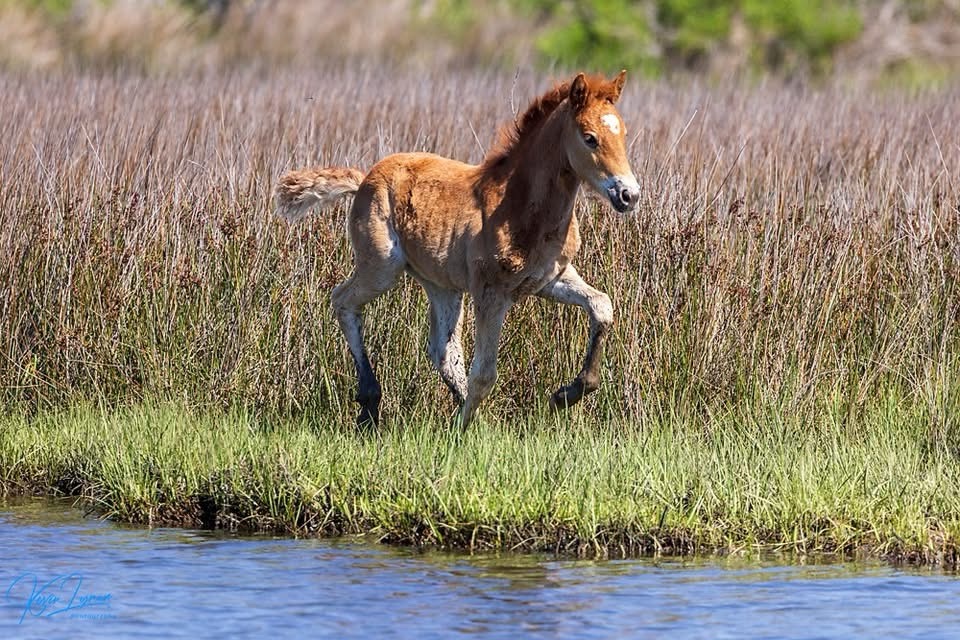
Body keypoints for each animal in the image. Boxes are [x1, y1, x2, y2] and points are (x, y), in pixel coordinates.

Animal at [274, 71, 640, 430]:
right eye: (589, 138)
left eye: (623, 134)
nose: (629, 195)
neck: (519, 203)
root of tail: (364, 179)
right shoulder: (491, 292)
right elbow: (485, 373)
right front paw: (462, 433)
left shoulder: (552, 278)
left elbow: (602, 306)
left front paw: (568, 393)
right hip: (380, 267)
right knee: (343, 301)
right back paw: (370, 404)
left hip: (442, 284)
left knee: (443, 351)